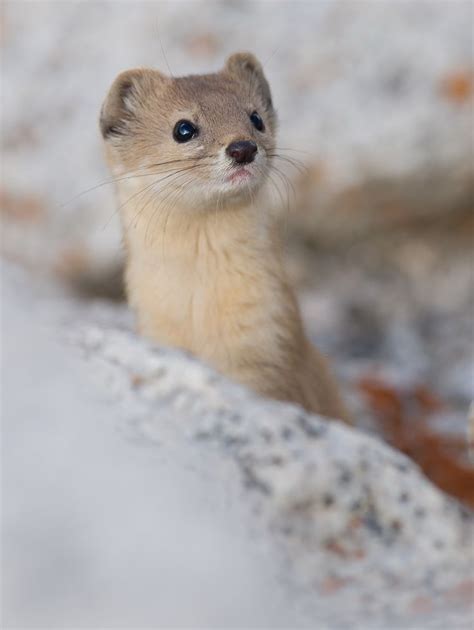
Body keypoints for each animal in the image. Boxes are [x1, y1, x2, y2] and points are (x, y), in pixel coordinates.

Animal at [100, 51, 350, 422]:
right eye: (183, 128)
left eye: (256, 117)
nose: (242, 148)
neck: (199, 307)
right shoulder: (156, 329)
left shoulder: (268, 341)